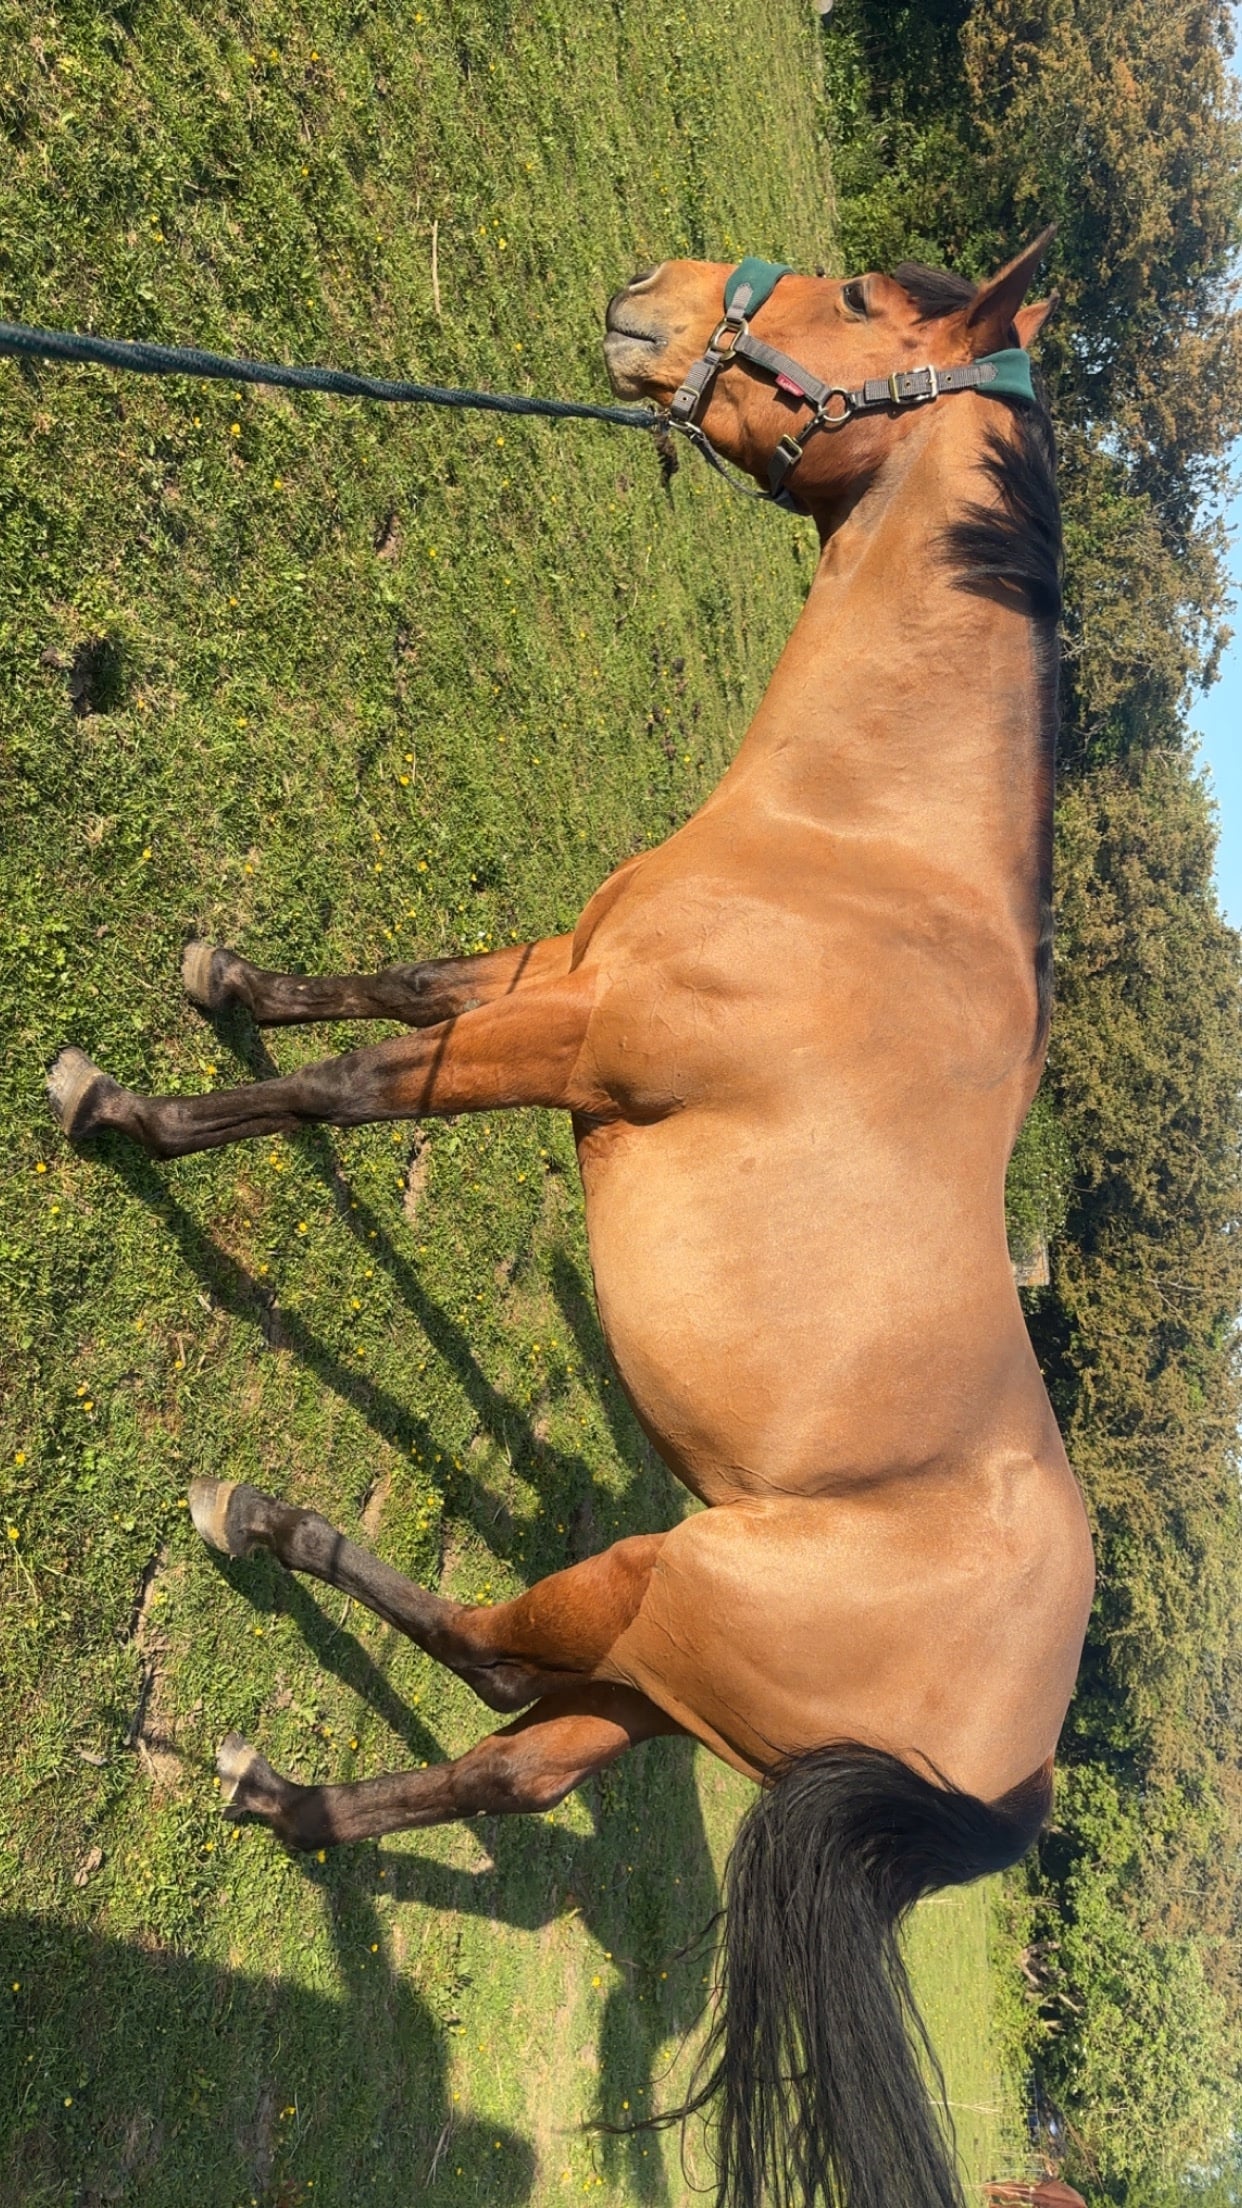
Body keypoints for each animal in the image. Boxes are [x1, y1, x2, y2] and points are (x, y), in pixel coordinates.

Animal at [47, 230, 1095, 2208]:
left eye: (855, 300)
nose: (654, 291)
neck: (863, 863)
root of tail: (1007, 1783)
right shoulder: (557, 967)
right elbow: (394, 982)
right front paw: (225, 982)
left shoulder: (584, 1042)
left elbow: (356, 1088)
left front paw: (125, 1111)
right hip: (659, 1682)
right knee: (510, 1768)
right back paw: (279, 1794)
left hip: (652, 1599)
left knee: (483, 1656)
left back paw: (262, 1526)